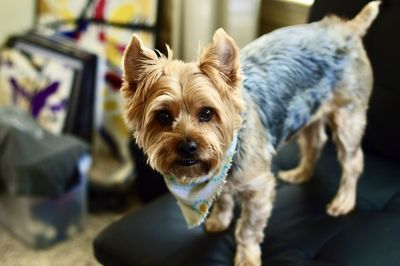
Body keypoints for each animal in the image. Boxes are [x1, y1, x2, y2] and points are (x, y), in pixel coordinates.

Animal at [120, 1, 380, 264]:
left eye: (207, 113)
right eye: (163, 116)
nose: (187, 147)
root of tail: (345, 28)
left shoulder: (260, 189)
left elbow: (248, 229)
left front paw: (247, 257)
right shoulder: (221, 181)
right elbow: (224, 199)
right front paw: (219, 220)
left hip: (348, 115)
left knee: (353, 161)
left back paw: (343, 201)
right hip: (308, 111)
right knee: (315, 141)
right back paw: (301, 174)